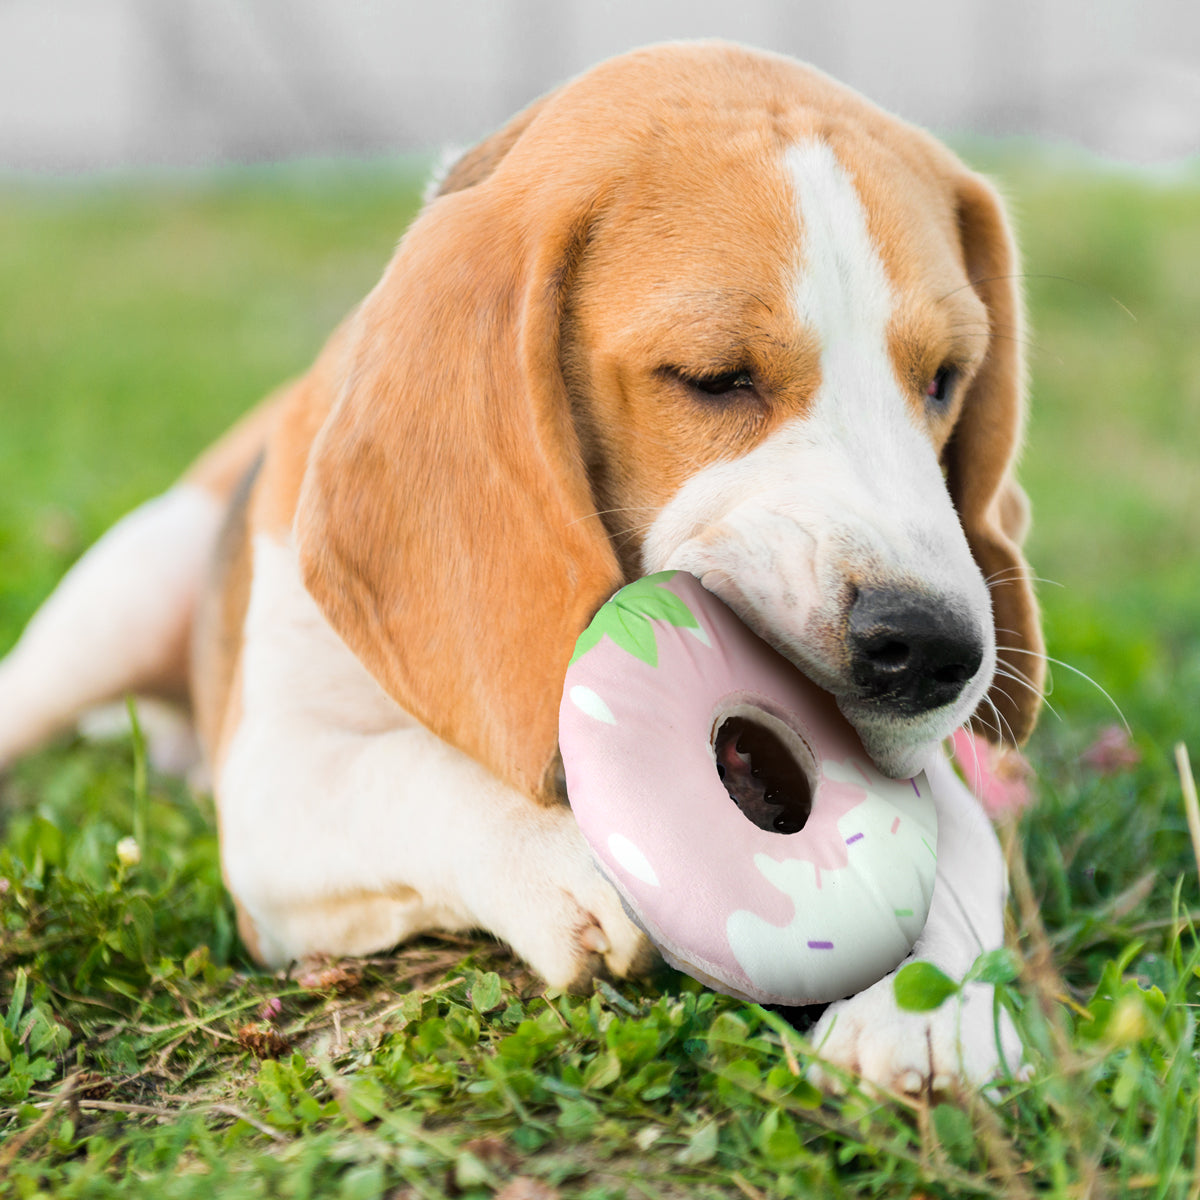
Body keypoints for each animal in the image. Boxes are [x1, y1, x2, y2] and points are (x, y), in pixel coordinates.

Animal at [0, 44, 1041, 1099]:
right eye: (714, 378)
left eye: (946, 379)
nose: (933, 650)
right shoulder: (274, 787)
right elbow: (409, 768)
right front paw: (562, 857)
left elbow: (964, 849)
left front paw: (931, 1014)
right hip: (120, 595)